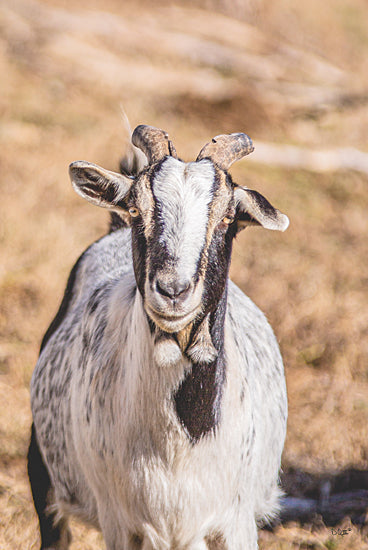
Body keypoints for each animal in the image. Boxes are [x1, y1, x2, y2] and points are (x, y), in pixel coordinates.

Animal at [28, 126, 288, 550]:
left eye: (227, 217)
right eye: (136, 209)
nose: (172, 291)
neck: (180, 443)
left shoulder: (235, 521)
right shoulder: (121, 522)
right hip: (44, 470)